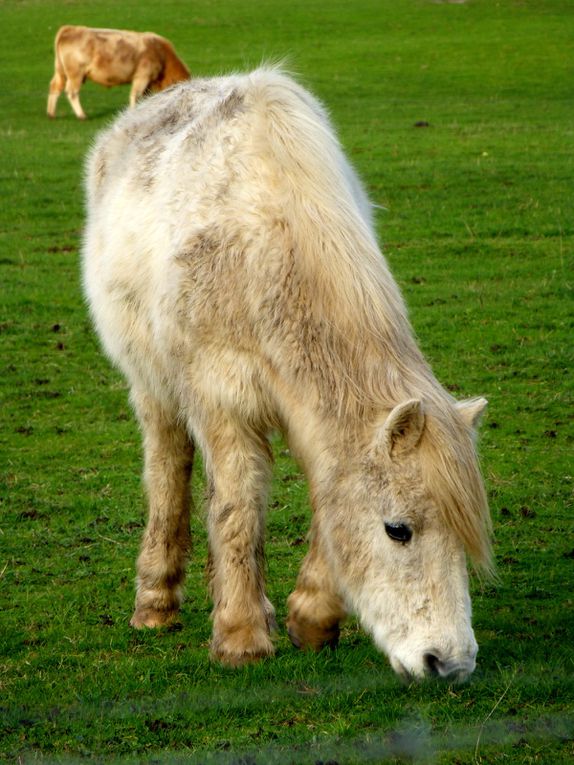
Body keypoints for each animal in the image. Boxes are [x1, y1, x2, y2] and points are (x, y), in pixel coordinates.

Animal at [47, 24, 190, 119]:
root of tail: (71, 28)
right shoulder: (142, 76)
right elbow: (135, 95)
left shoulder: (147, 81)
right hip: (75, 74)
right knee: (72, 92)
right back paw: (81, 115)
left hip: (61, 72)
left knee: (55, 87)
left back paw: (51, 113)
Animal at [82, 68, 496, 676]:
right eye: (398, 530)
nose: (450, 663)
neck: (266, 252)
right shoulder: (223, 405)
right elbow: (239, 509)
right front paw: (241, 637)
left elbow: (317, 499)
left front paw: (309, 617)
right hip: (153, 386)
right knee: (169, 468)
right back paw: (157, 603)